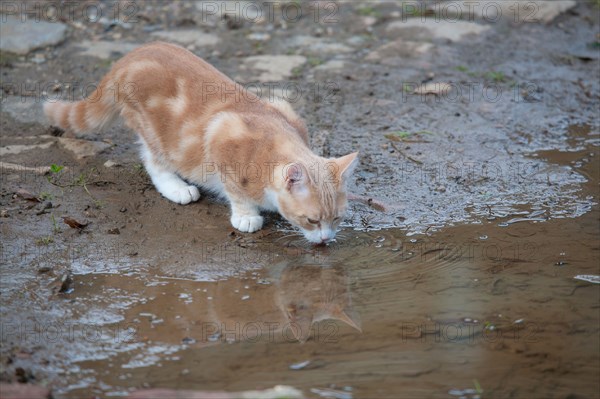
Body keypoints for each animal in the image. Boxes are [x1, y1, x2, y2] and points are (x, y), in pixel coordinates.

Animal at [47, 41, 358, 244]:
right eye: (312, 220)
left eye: (337, 219)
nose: (325, 239)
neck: (271, 145)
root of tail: (129, 57)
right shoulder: (221, 138)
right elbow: (235, 190)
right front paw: (246, 215)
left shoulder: (283, 108)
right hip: (155, 133)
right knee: (152, 160)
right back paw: (177, 188)